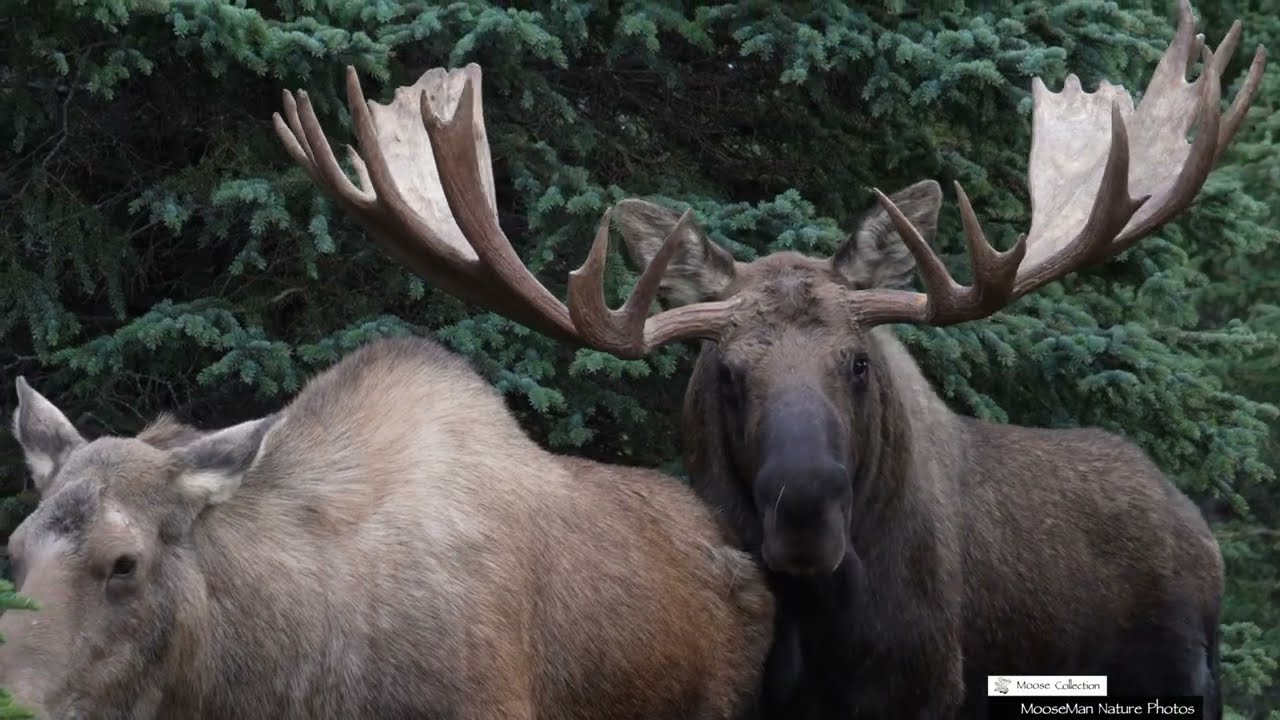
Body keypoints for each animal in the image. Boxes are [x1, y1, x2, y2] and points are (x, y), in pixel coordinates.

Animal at [269, 1, 1264, 716]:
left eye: (859, 362)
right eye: (725, 371)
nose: (808, 510)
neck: (828, 642)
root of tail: (1200, 531)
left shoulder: (931, 692)